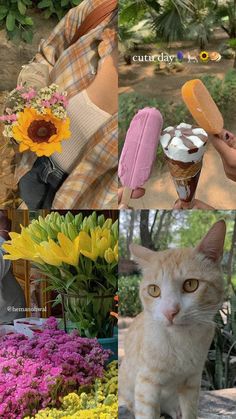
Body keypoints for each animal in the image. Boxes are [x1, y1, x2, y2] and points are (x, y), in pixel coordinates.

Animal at [120, 221, 227, 418]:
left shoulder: (192, 383)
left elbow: (190, 412)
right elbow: (146, 412)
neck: (180, 341)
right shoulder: (146, 385)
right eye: (154, 290)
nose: (170, 312)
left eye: (191, 285)